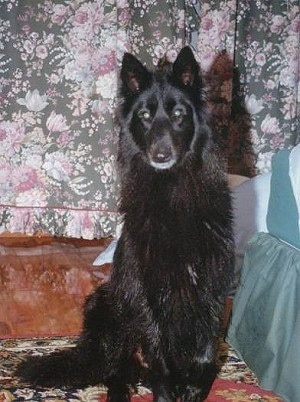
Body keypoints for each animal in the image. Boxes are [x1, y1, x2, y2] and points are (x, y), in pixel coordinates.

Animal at [15, 48, 233, 402]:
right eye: (144, 115)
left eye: (179, 114)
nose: (161, 154)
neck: (171, 189)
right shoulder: (146, 292)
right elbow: (160, 361)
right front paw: (167, 393)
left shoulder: (210, 285)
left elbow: (204, 356)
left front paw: (193, 390)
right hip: (108, 307)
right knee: (115, 372)